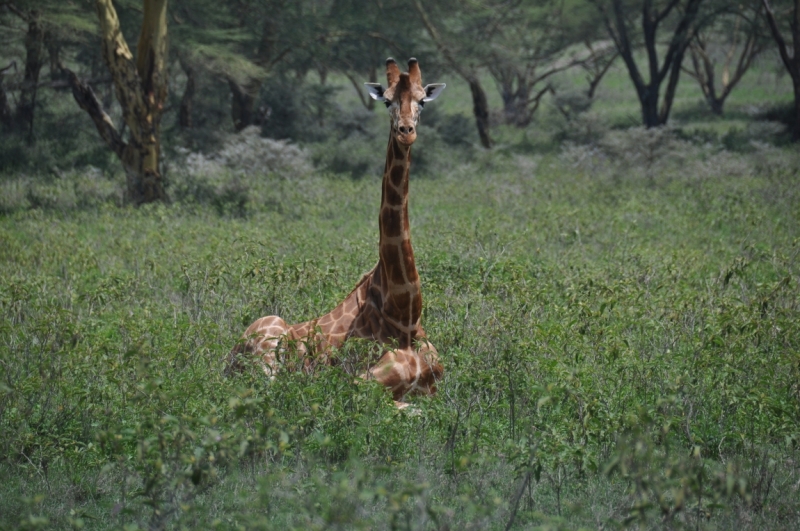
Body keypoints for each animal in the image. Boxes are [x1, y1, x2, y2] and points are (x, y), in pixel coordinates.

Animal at [228, 57, 446, 408]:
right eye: (386, 100)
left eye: (422, 101)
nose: (405, 132)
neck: (405, 317)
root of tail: (226, 360)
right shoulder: (357, 381)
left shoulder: (434, 387)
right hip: (268, 336)